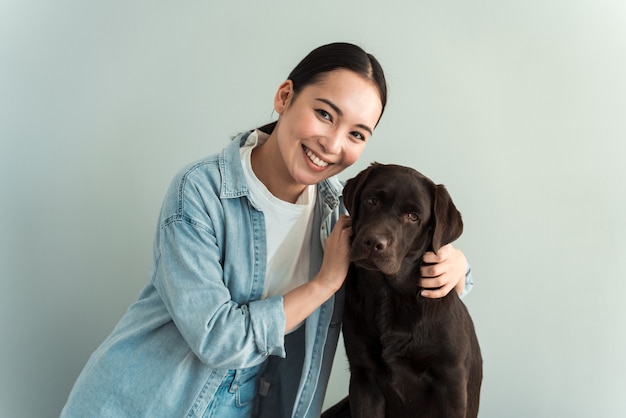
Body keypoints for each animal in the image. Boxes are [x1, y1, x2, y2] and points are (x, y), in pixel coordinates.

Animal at [322, 163, 482, 418]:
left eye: (413, 217)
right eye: (372, 201)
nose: (373, 242)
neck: (389, 295)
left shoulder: (452, 381)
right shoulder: (363, 377)